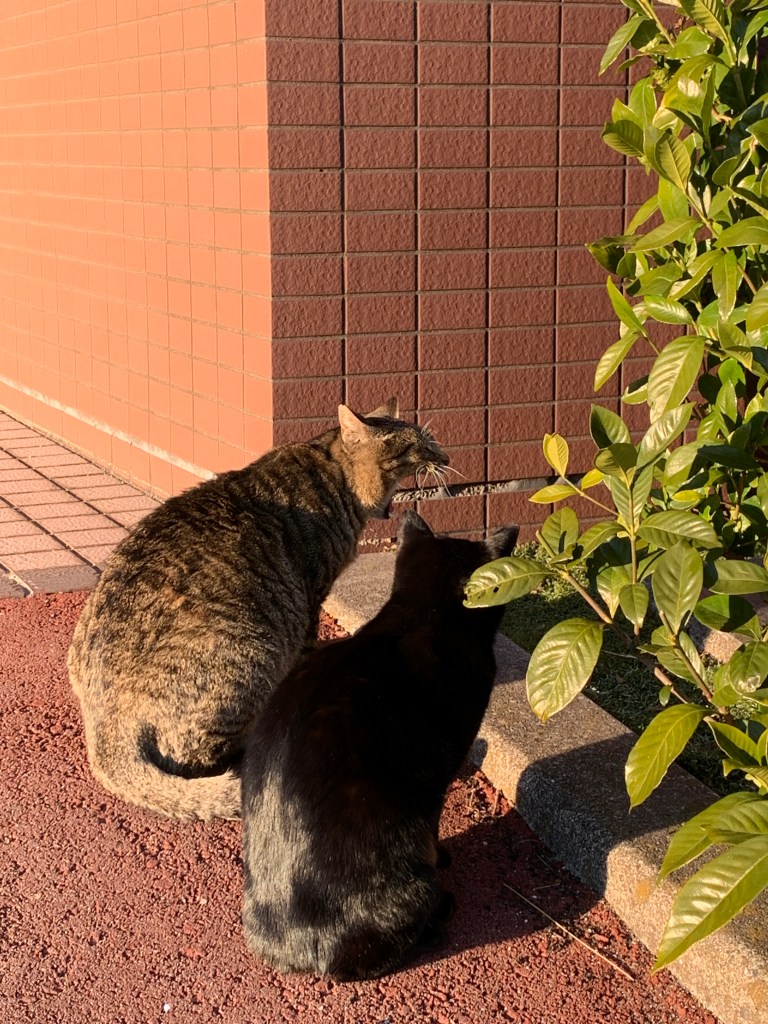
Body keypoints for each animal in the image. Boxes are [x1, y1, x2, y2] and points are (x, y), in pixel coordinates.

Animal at [67, 401, 447, 821]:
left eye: (431, 441)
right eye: (419, 445)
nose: (445, 457)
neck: (335, 473)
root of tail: (104, 727)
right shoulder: (312, 593)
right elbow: (308, 646)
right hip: (253, 652)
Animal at [240, 510, 518, 981]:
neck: (420, 615)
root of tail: (302, 951)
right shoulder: (437, 778)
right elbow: (434, 832)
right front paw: (443, 856)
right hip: (407, 879)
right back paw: (439, 915)